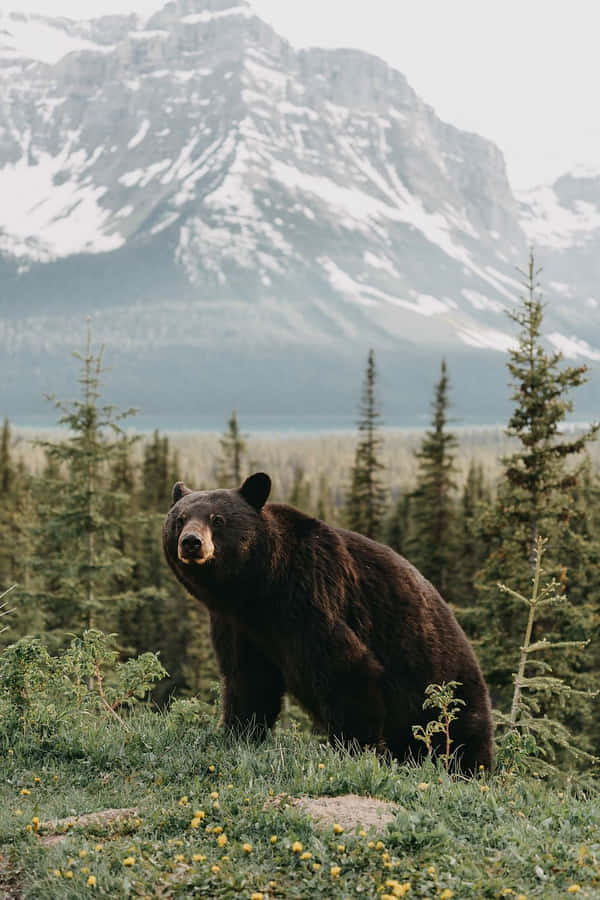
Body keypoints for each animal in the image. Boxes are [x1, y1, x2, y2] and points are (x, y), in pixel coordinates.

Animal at [163, 472, 493, 772]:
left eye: (217, 519)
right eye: (179, 519)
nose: (191, 542)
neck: (259, 590)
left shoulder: (311, 597)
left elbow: (347, 670)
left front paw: (352, 750)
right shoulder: (237, 626)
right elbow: (247, 680)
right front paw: (237, 734)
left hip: (445, 690)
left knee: (462, 737)